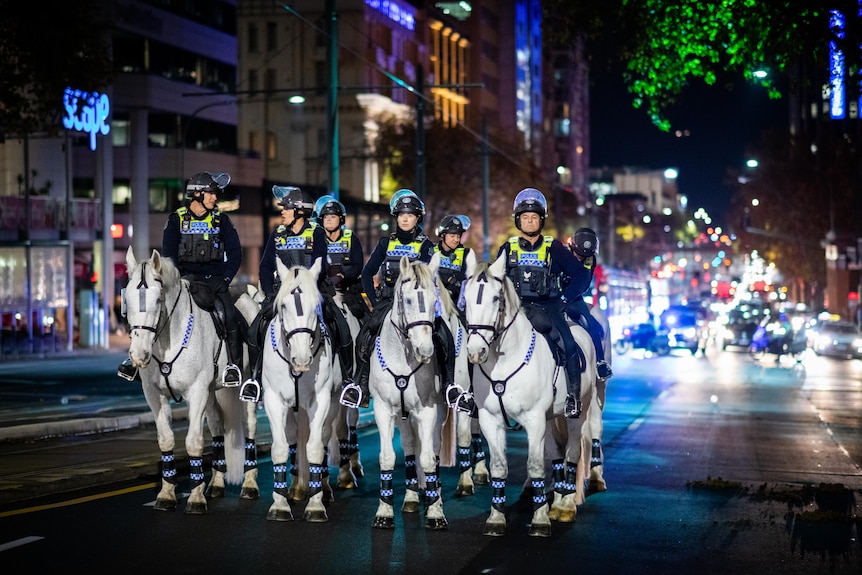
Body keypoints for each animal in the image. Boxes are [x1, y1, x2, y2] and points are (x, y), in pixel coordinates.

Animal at [125, 246, 258, 512]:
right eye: (127, 300)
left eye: (157, 300)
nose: (138, 354)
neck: (169, 337)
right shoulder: (154, 394)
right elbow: (165, 440)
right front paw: (166, 494)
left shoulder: (196, 392)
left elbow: (193, 442)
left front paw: (195, 498)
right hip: (212, 391)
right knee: (217, 425)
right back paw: (216, 483)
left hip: (247, 384)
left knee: (249, 424)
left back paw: (250, 484)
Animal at [260, 258, 340, 524]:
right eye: (283, 305)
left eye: (317, 305)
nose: (302, 359)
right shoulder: (274, 400)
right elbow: (280, 448)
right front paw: (280, 505)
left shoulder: (320, 400)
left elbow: (314, 447)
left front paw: (315, 506)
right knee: (294, 437)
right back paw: (295, 488)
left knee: (323, 438)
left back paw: (323, 489)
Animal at [372, 256, 452, 532]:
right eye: (407, 300)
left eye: (433, 300)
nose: (425, 350)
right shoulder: (383, 409)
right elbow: (387, 457)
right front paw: (384, 512)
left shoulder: (427, 410)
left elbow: (428, 459)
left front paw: (436, 513)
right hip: (402, 416)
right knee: (408, 446)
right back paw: (411, 497)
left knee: (434, 449)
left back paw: (434, 495)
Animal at [466, 255, 600, 536]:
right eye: (467, 296)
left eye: (496, 298)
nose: (475, 351)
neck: (505, 360)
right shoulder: (491, 420)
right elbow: (499, 467)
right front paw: (496, 518)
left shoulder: (534, 419)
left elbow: (536, 465)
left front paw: (540, 520)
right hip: (551, 418)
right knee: (558, 452)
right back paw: (558, 503)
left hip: (578, 413)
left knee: (572, 452)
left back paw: (567, 505)